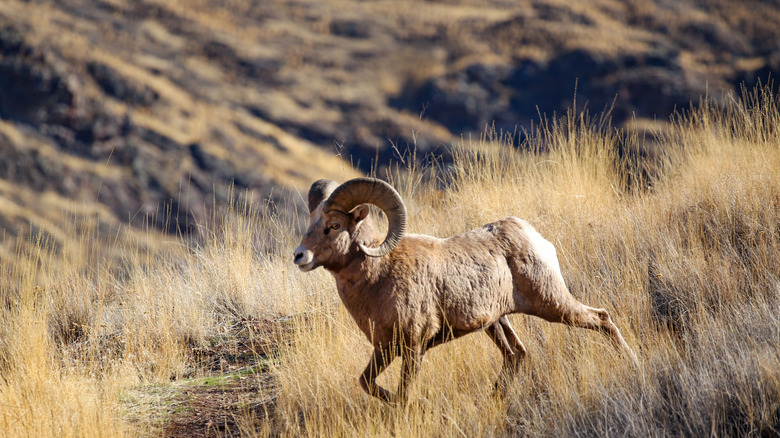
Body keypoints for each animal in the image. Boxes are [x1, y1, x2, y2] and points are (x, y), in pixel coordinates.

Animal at [293, 177, 639, 404]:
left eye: (335, 226)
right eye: (311, 222)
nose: (300, 256)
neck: (378, 276)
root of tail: (536, 238)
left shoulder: (413, 347)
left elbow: (404, 395)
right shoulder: (384, 348)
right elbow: (367, 383)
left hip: (552, 304)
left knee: (601, 318)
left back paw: (633, 364)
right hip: (497, 322)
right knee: (517, 355)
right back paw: (493, 399)